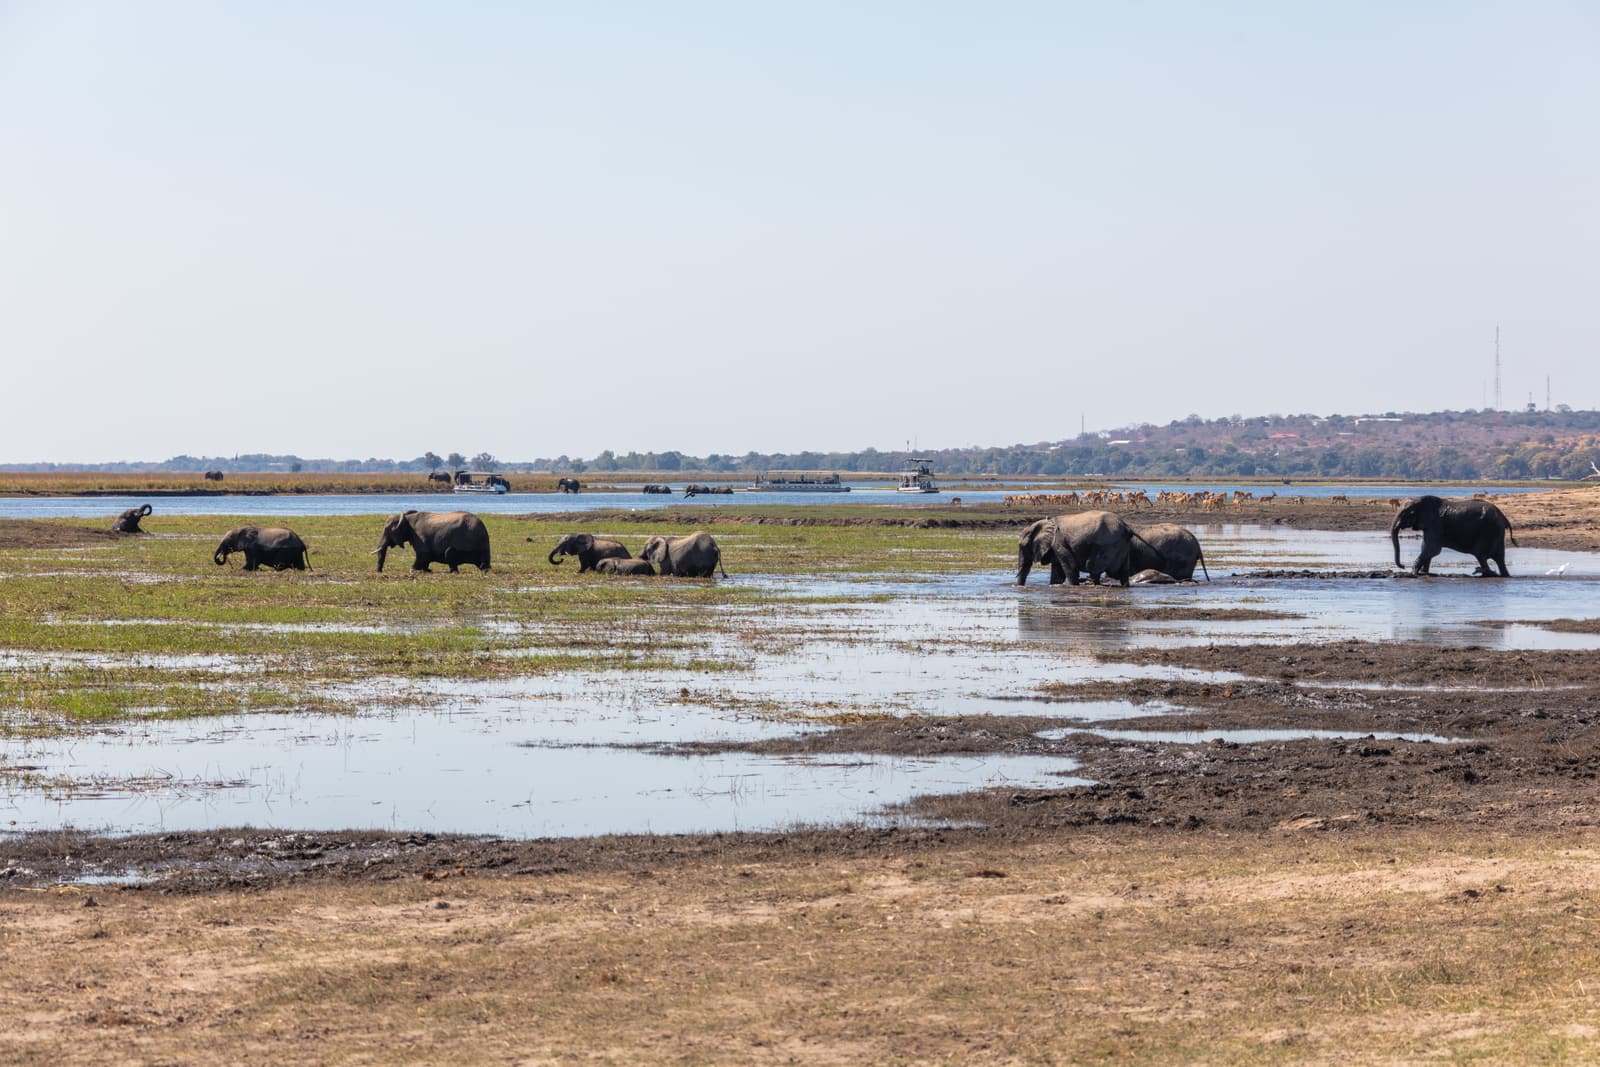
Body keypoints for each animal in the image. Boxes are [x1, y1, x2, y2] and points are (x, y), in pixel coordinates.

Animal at [1015, 512, 1147, 587]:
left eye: (1022, 546)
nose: (1018, 587)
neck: (1046, 522)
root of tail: (1126, 526)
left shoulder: (1059, 542)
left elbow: (1070, 566)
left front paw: (1073, 586)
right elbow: (1058, 573)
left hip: (1107, 544)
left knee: (1093, 566)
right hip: (1122, 545)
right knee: (1123, 572)